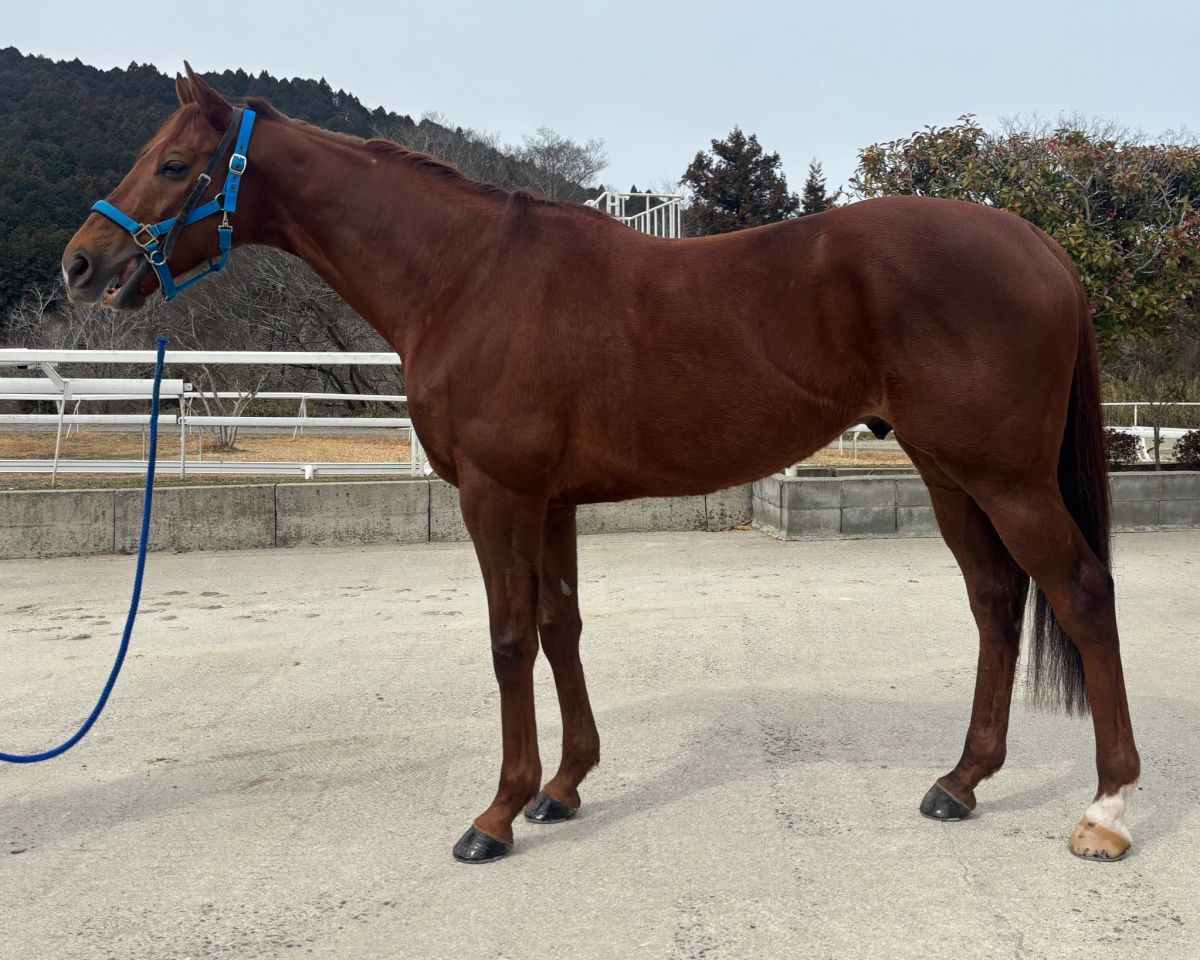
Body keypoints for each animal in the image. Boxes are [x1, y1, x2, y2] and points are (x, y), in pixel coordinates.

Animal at [62, 65, 1140, 864]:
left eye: (174, 164)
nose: (80, 264)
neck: (463, 274)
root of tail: (1043, 246)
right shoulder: (552, 501)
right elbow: (561, 628)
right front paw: (564, 787)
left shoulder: (497, 497)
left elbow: (508, 639)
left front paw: (497, 814)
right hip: (950, 471)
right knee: (998, 601)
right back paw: (960, 782)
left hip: (1004, 477)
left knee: (1081, 591)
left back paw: (1107, 808)